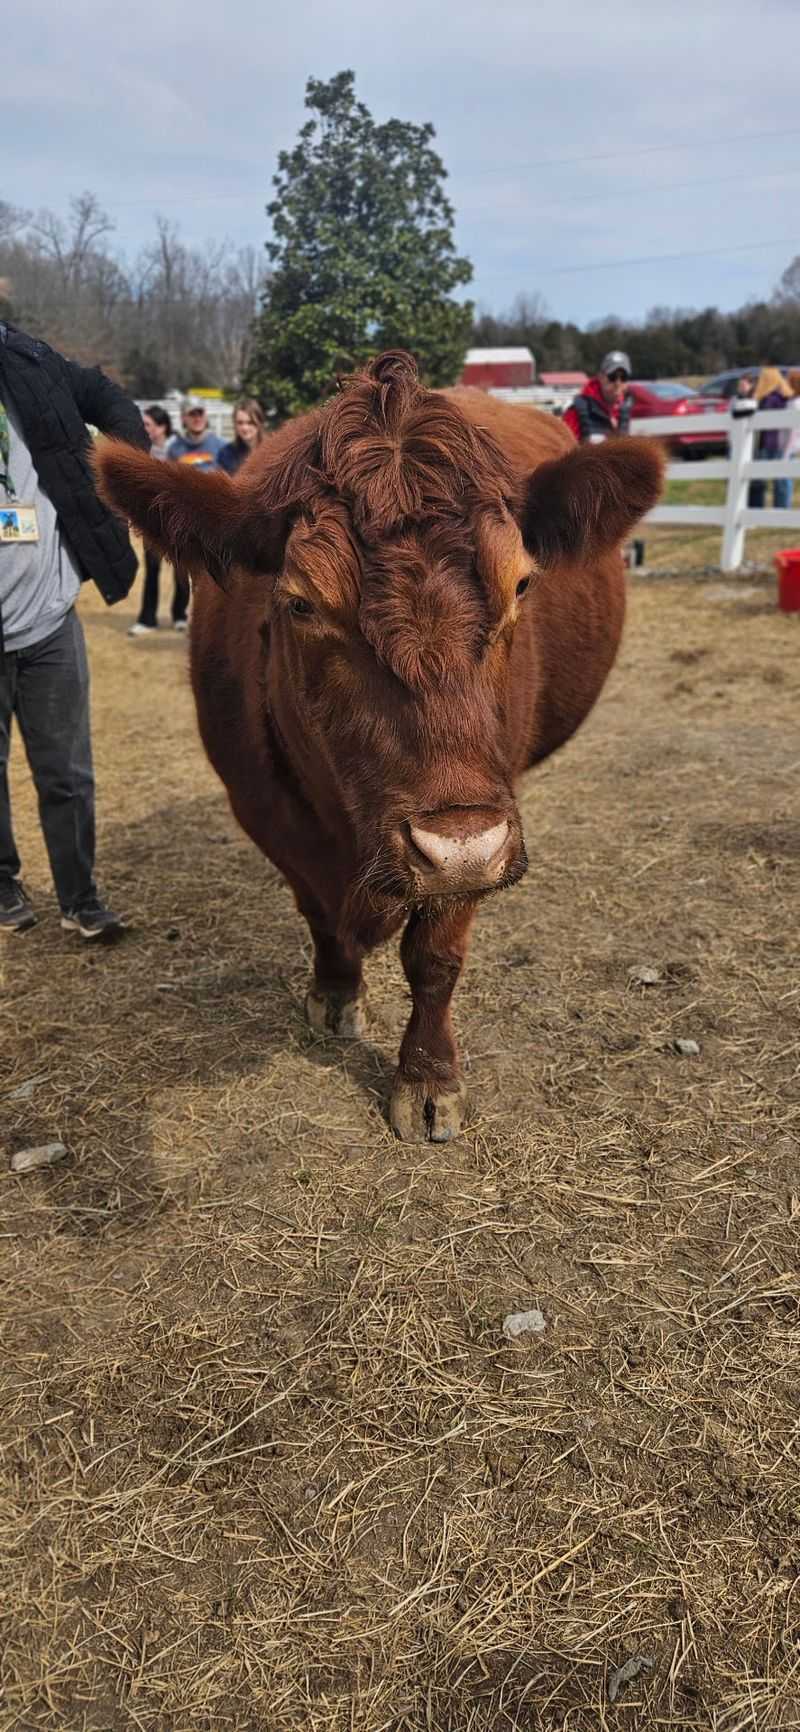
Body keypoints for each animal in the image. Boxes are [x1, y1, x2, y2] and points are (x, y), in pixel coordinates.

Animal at [97, 351, 662, 1142]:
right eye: (301, 602)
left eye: (522, 584)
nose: (461, 846)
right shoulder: (263, 810)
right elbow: (318, 917)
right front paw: (336, 994)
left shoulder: (481, 825)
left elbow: (435, 958)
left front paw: (427, 1078)